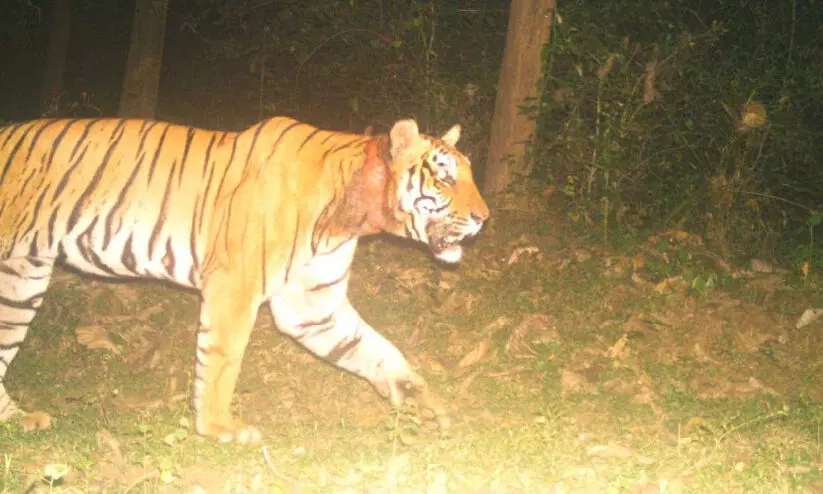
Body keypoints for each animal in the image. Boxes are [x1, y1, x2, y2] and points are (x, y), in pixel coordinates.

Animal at [0, 116, 489, 443]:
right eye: (445, 177)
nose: (485, 218)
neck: (350, 217)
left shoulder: (313, 305)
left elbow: (373, 348)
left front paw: (420, 399)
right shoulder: (234, 287)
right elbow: (221, 360)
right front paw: (219, 428)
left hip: (21, 279)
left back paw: (18, 419)